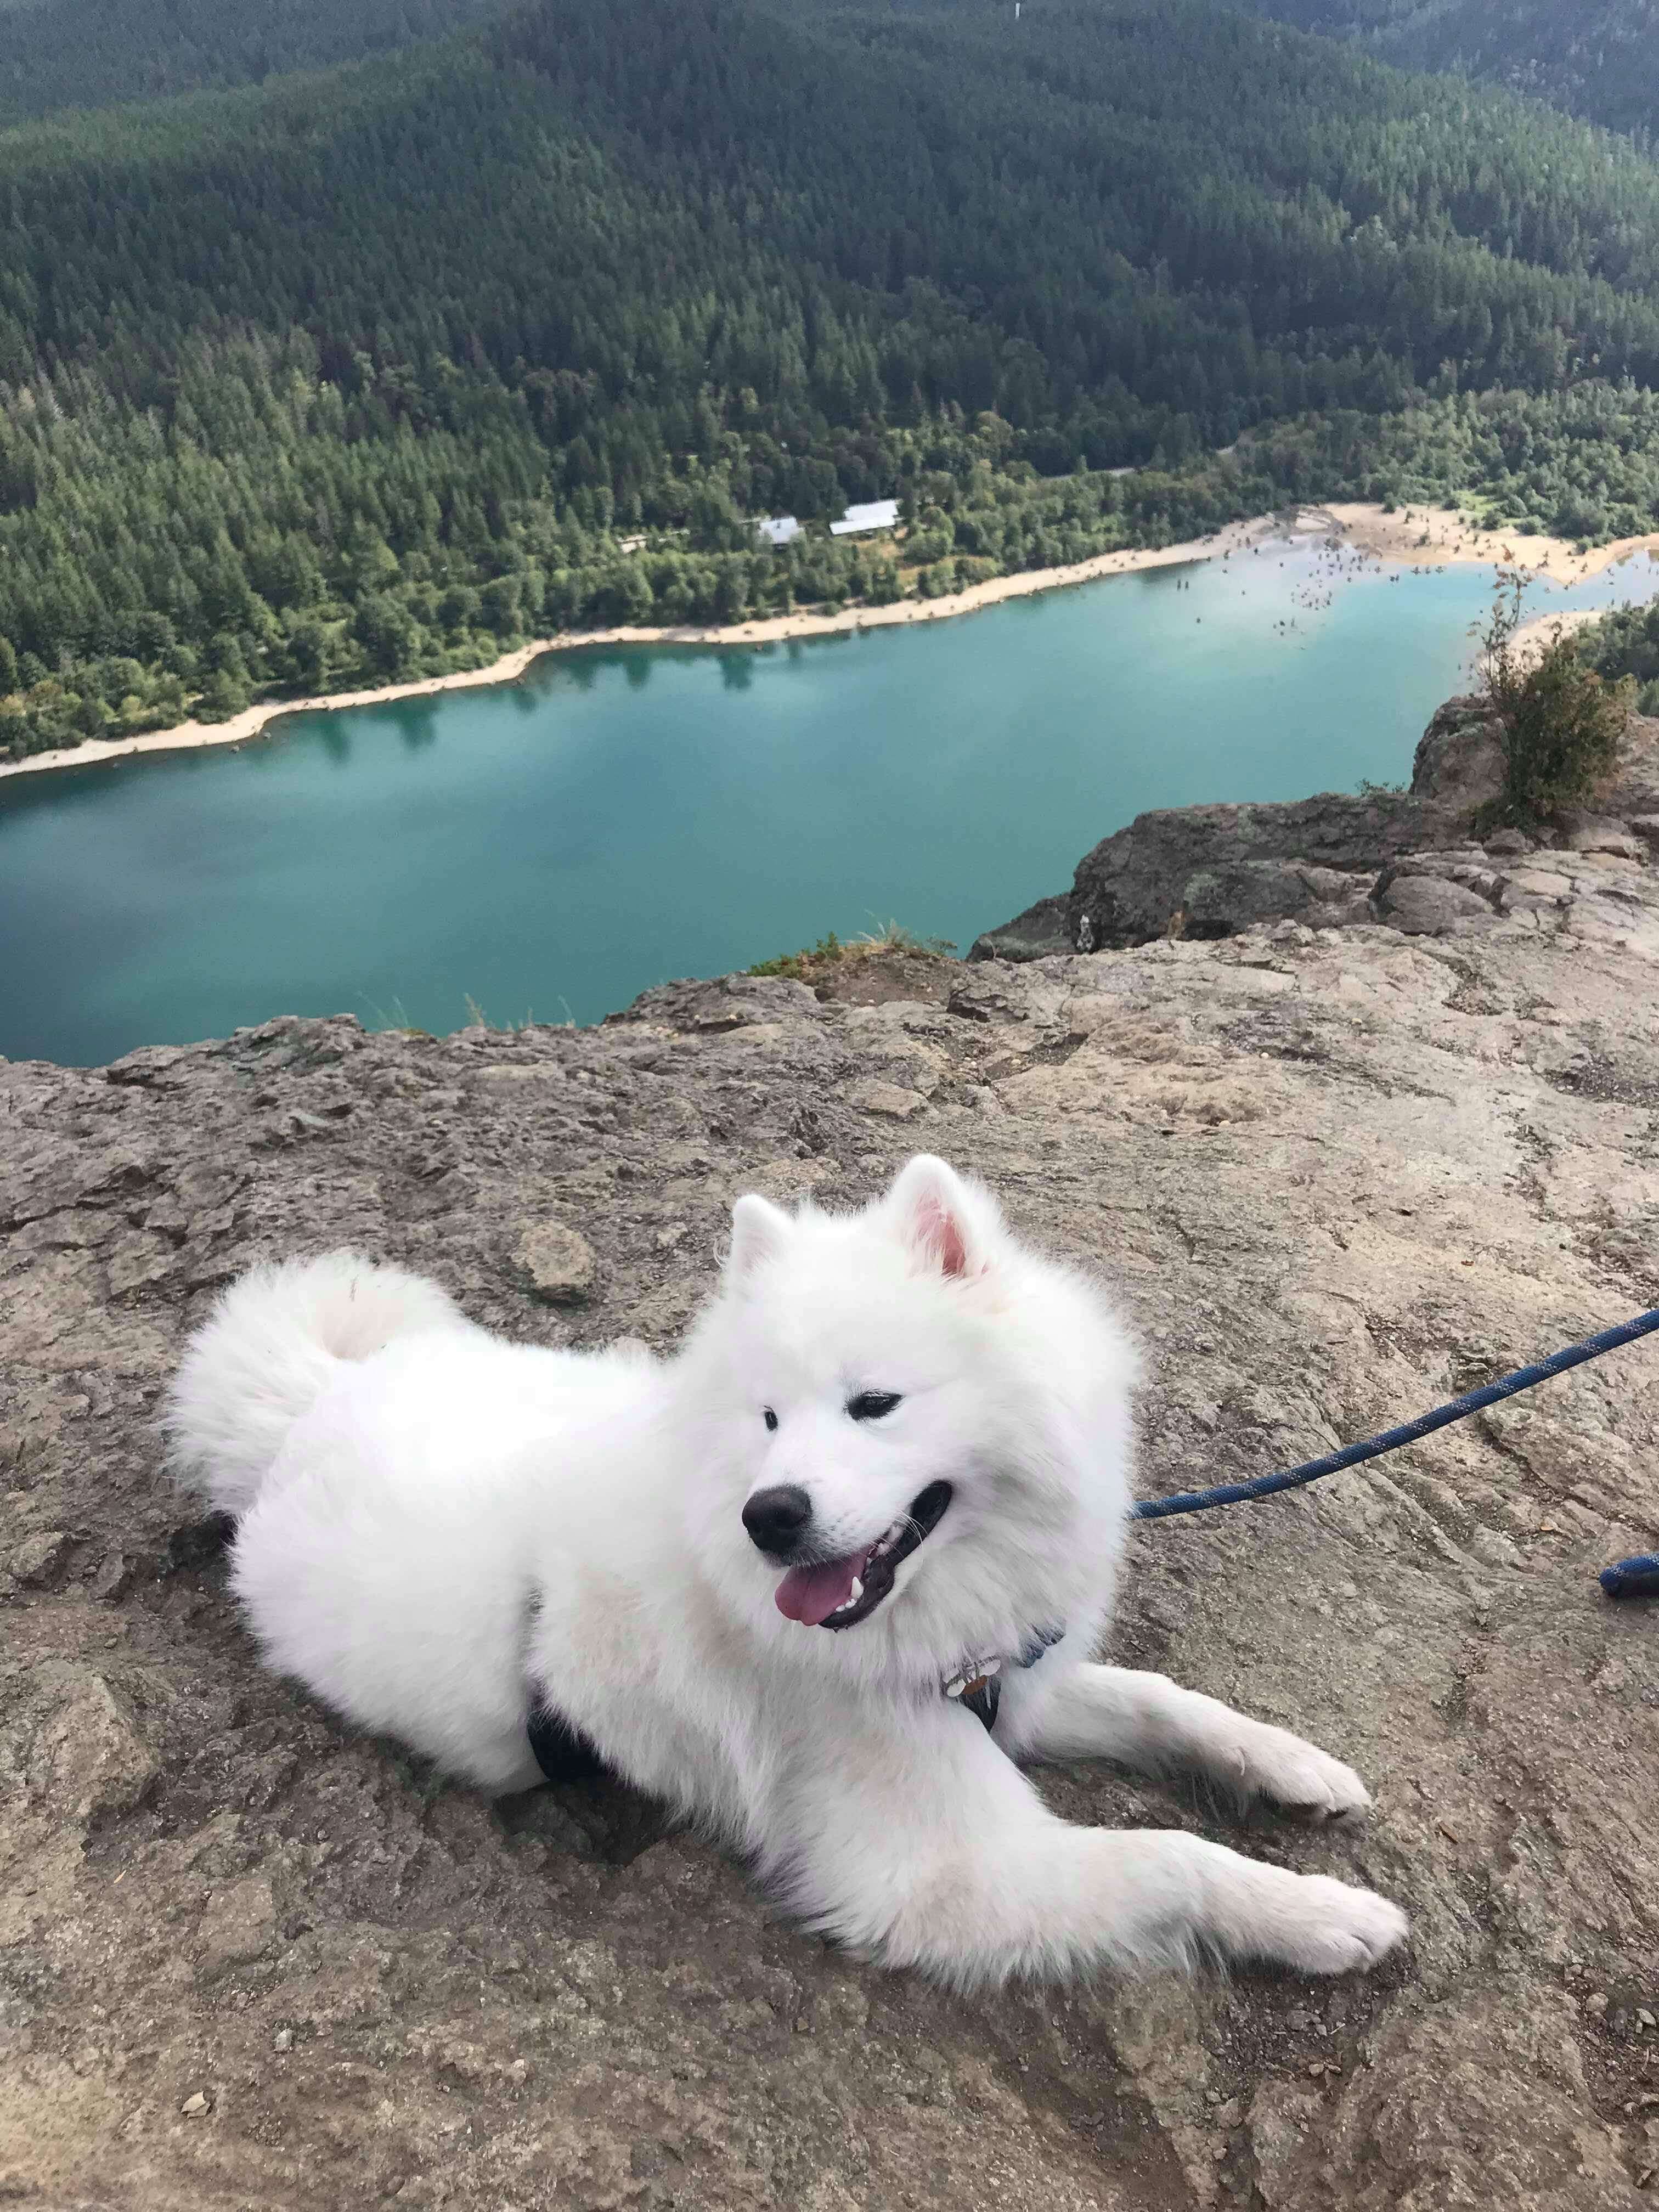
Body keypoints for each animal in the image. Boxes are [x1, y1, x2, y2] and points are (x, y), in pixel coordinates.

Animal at [169, 1159, 1407, 1990]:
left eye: (874, 1403)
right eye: (766, 1419)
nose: (770, 1517)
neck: (927, 1618)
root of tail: (314, 1398)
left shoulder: (1002, 1682)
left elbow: (1162, 1699)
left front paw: (1295, 1765)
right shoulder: (942, 1870)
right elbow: (1170, 1858)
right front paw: (1323, 1914)